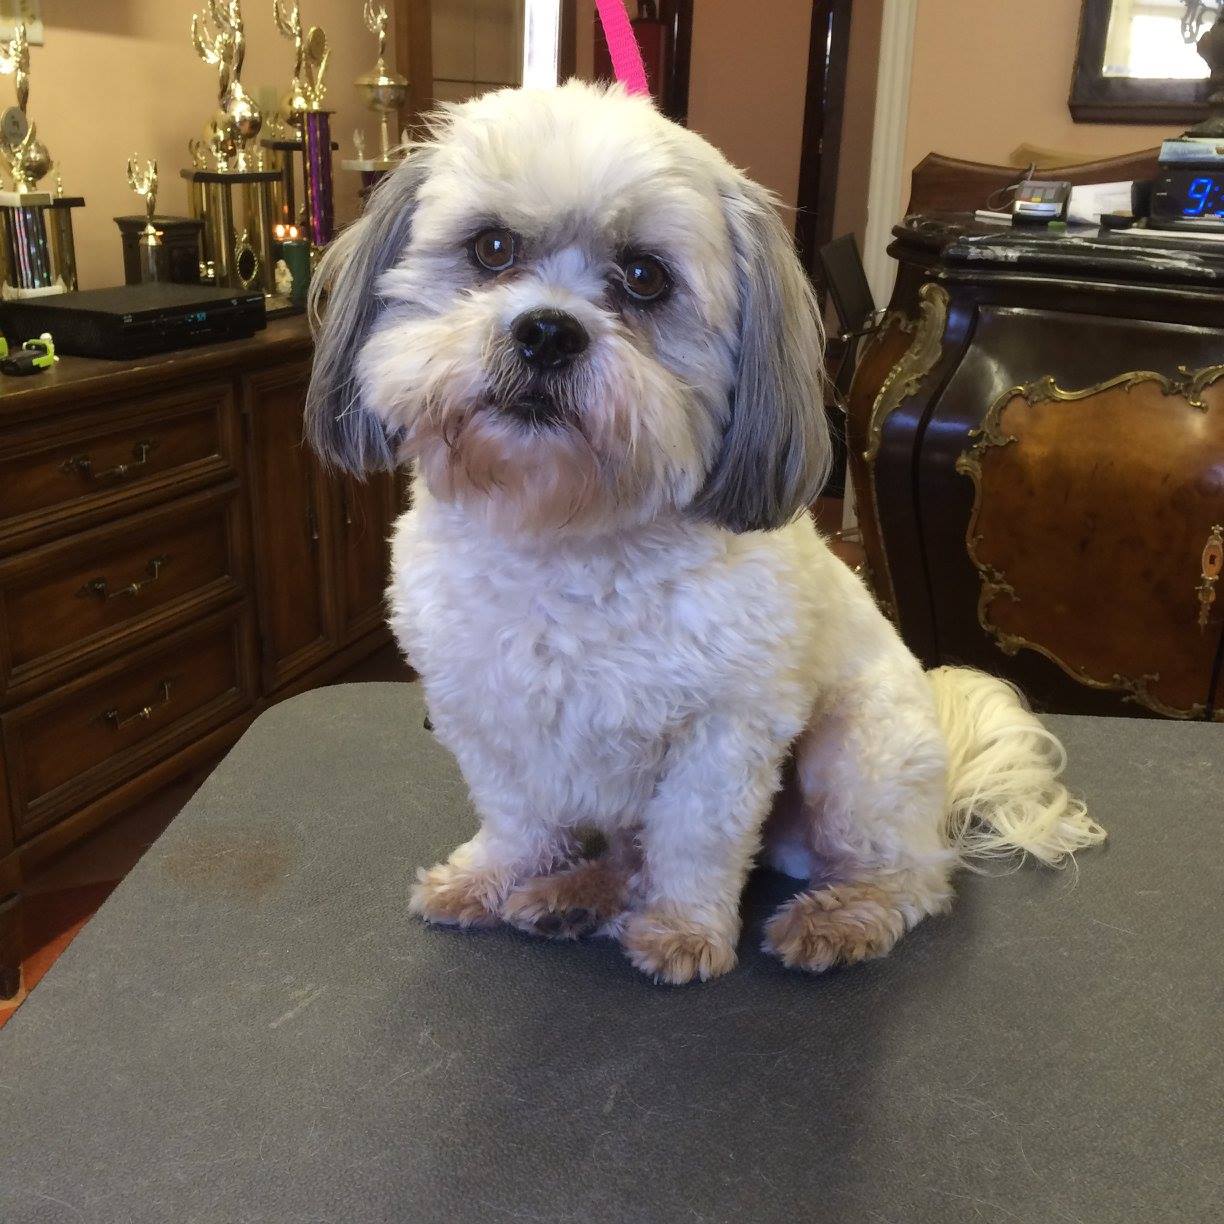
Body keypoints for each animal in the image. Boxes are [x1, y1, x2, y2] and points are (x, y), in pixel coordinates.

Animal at [305, 81, 1104, 985]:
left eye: (645, 277)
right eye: (492, 248)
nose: (547, 330)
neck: (565, 533)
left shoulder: (724, 733)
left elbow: (694, 840)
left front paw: (683, 931)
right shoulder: (484, 709)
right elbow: (517, 816)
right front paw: (492, 875)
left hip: (857, 753)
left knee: (912, 876)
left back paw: (843, 915)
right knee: (628, 853)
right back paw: (576, 892)